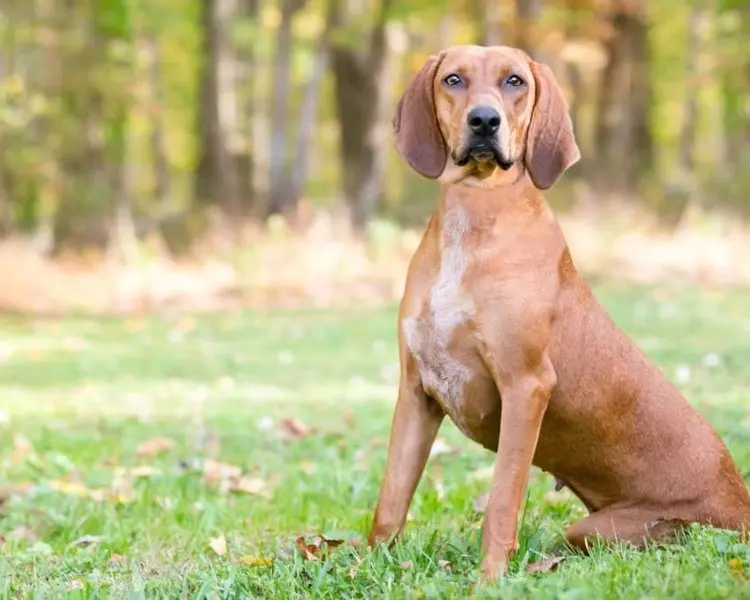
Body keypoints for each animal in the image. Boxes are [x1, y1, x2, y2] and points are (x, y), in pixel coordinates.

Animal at [366, 45, 750, 580]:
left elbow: (502, 501)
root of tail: (743, 502)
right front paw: (364, 566)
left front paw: (489, 580)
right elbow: (391, 499)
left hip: (610, 529)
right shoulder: (416, 391)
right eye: (453, 79)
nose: (484, 121)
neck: (475, 217)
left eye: (514, 81)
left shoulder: (525, 386)